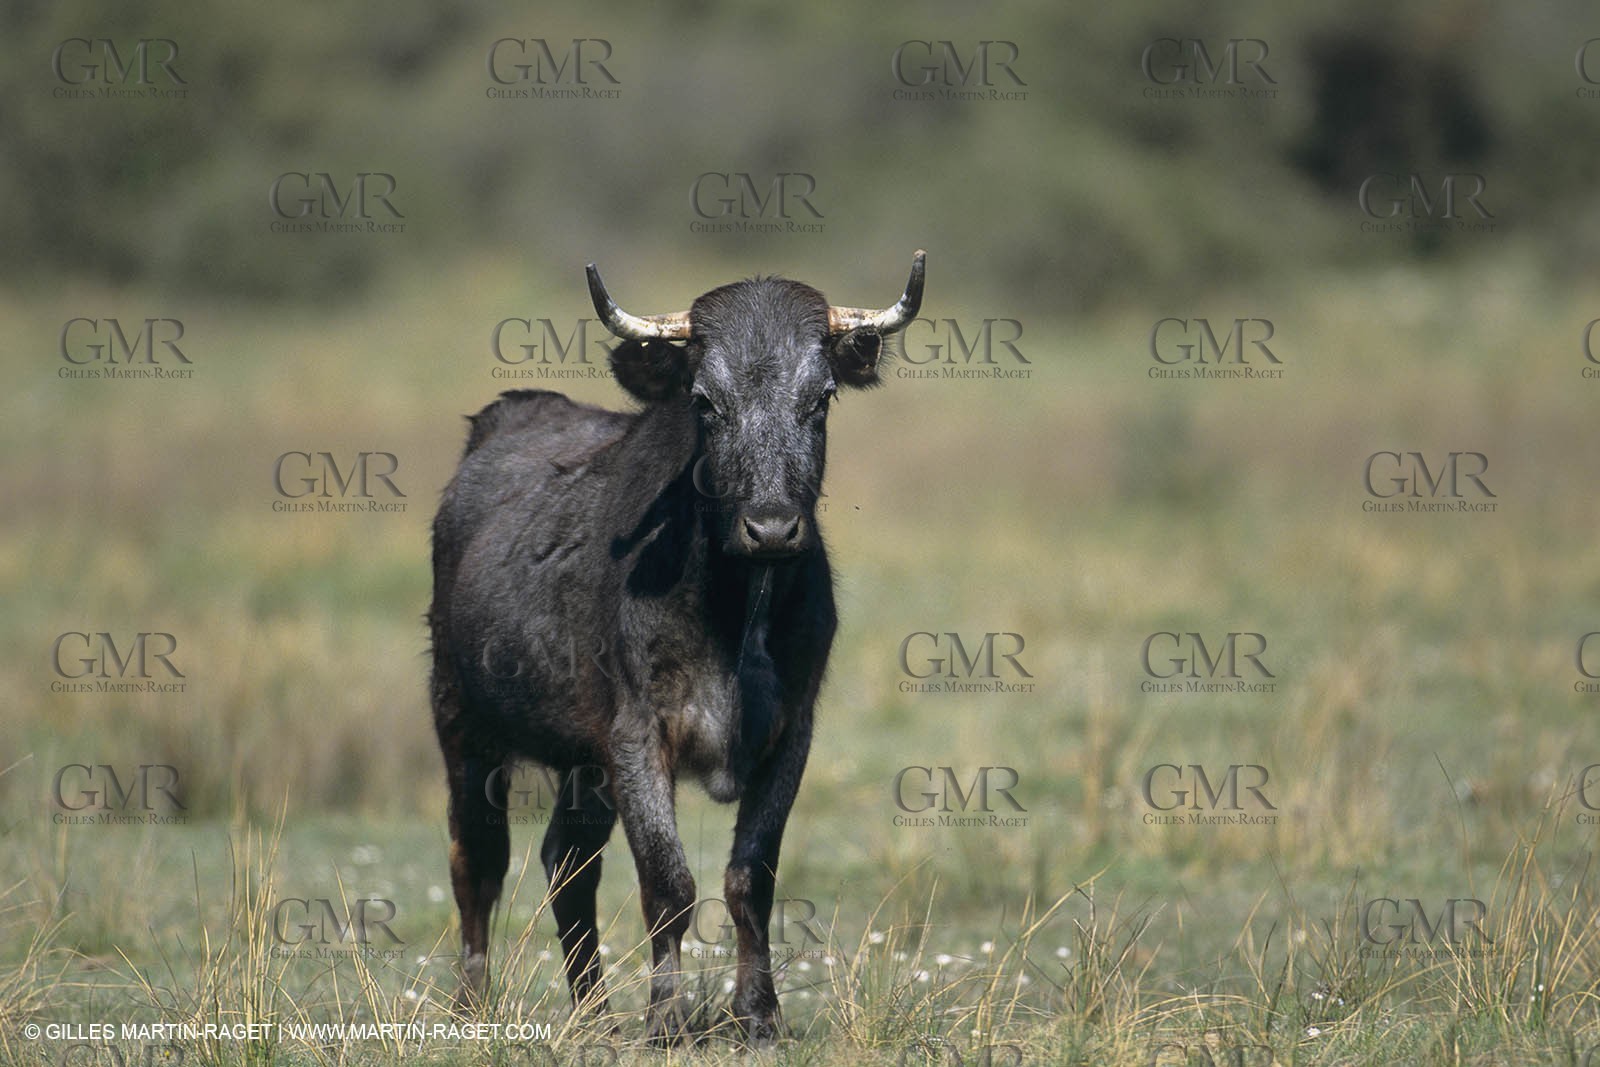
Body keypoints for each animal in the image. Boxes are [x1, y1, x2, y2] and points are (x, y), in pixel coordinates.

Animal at [427, 251, 926, 1042]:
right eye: (704, 400)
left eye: (819, 399)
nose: (772, 526)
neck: (734, 612)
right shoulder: (637, 733)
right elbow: (668, 882)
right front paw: (666, 1019)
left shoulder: (793, 732)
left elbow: (750, 877)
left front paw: (759, 1014)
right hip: (461, 719)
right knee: (479, 855)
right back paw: (475, 1003)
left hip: (581, 761)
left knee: (567, 862)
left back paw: (594, 1013)